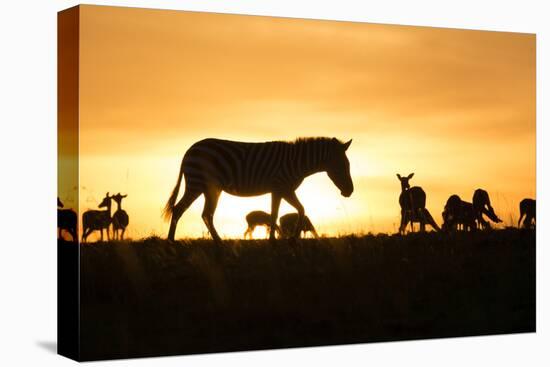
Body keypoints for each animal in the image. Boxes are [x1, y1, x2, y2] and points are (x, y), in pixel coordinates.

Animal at [164, 137, 354, 243]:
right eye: (342, 166)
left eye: (348, 165)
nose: (350, 192)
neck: (297, 162)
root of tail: (190, 150)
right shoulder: (282, 187)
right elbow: (289, 212)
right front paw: (288, 239)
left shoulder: (280, 190)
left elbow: (280, 213)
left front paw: (279, 240)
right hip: (196, 184)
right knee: (181, 209)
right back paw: (171, 241)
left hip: (210, 189)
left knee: (204, 214)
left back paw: (217, 242)